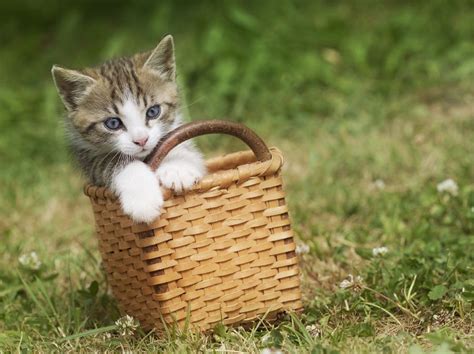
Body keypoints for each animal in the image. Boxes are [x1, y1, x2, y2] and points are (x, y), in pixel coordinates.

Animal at [51, 36, 206, 224]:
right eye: (113, 123)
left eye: (153, 111)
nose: (141, 140)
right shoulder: (87, 156)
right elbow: (110, 162)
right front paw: (143, 200)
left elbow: (178, 146)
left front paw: (176, 167)